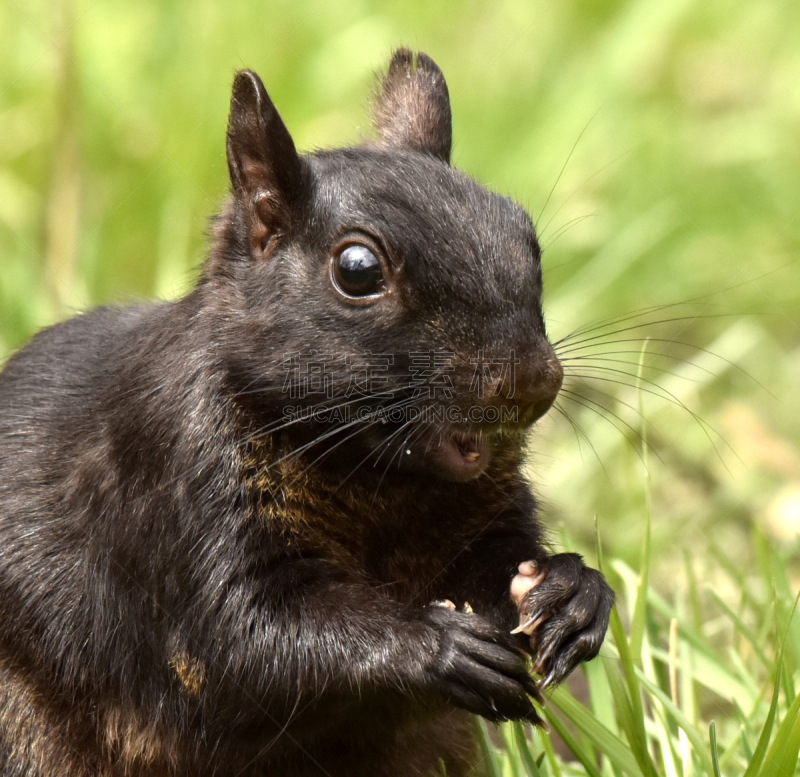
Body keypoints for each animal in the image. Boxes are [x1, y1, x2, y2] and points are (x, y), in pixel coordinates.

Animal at [0, 50, 612, 776]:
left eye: (526, 238)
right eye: (357, 269)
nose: (534, 381)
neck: (382, 480)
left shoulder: (480, 513)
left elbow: (500, 558)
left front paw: (572, 591)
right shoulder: (174, 495)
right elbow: (244, 639)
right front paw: (435, 645)